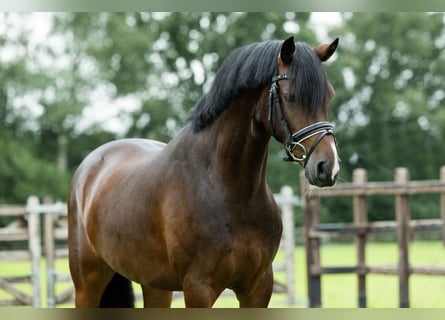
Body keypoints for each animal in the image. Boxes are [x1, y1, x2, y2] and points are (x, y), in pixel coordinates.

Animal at [67, 35, 340, 308]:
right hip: (88, 283)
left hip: (155, 284)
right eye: (289, 95)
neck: (228, 190)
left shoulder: (259, 286)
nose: (327, 167)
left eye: (329, 95)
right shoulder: (198, 288)